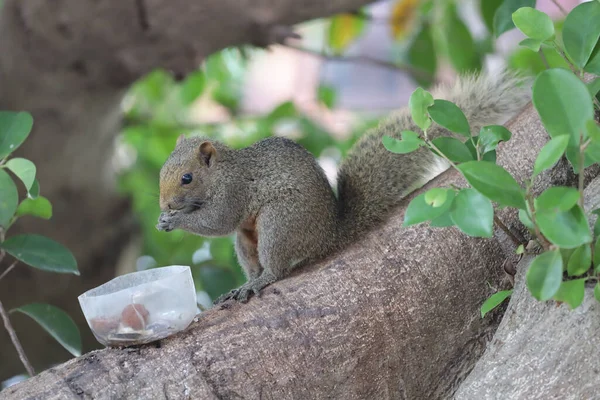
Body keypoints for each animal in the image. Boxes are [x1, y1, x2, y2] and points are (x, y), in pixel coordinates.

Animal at [156, 71, 528, 304]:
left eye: (187, 178)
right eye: (162, 170)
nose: (165, 204)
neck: (221, 172)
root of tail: (330, 234)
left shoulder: (234, 191)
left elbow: (217, 221)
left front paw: (176, 220)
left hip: (280, 222)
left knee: (276, 267)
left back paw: (262, 280)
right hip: (247, 240)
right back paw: (246, 283)